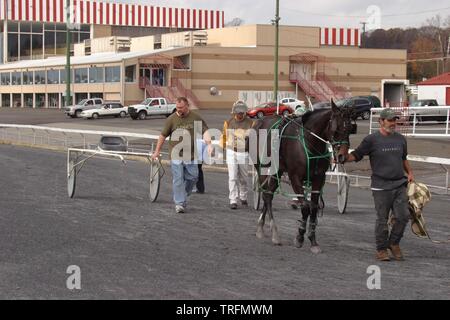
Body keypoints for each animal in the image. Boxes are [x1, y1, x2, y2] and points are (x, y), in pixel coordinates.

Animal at [251, 101, 354, 254]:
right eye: (336, 129)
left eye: (350, 128)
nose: (342, 155)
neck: (309, 141)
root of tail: (258, 122)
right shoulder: (295, 178)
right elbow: (305, 207)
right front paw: (299, 237)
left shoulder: (319, 179)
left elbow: (314, 207)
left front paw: (313, 240)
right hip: (262, 167)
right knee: (265, 194)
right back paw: (274, 233)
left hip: (277, 170)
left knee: (268, 194)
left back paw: (261, 227)